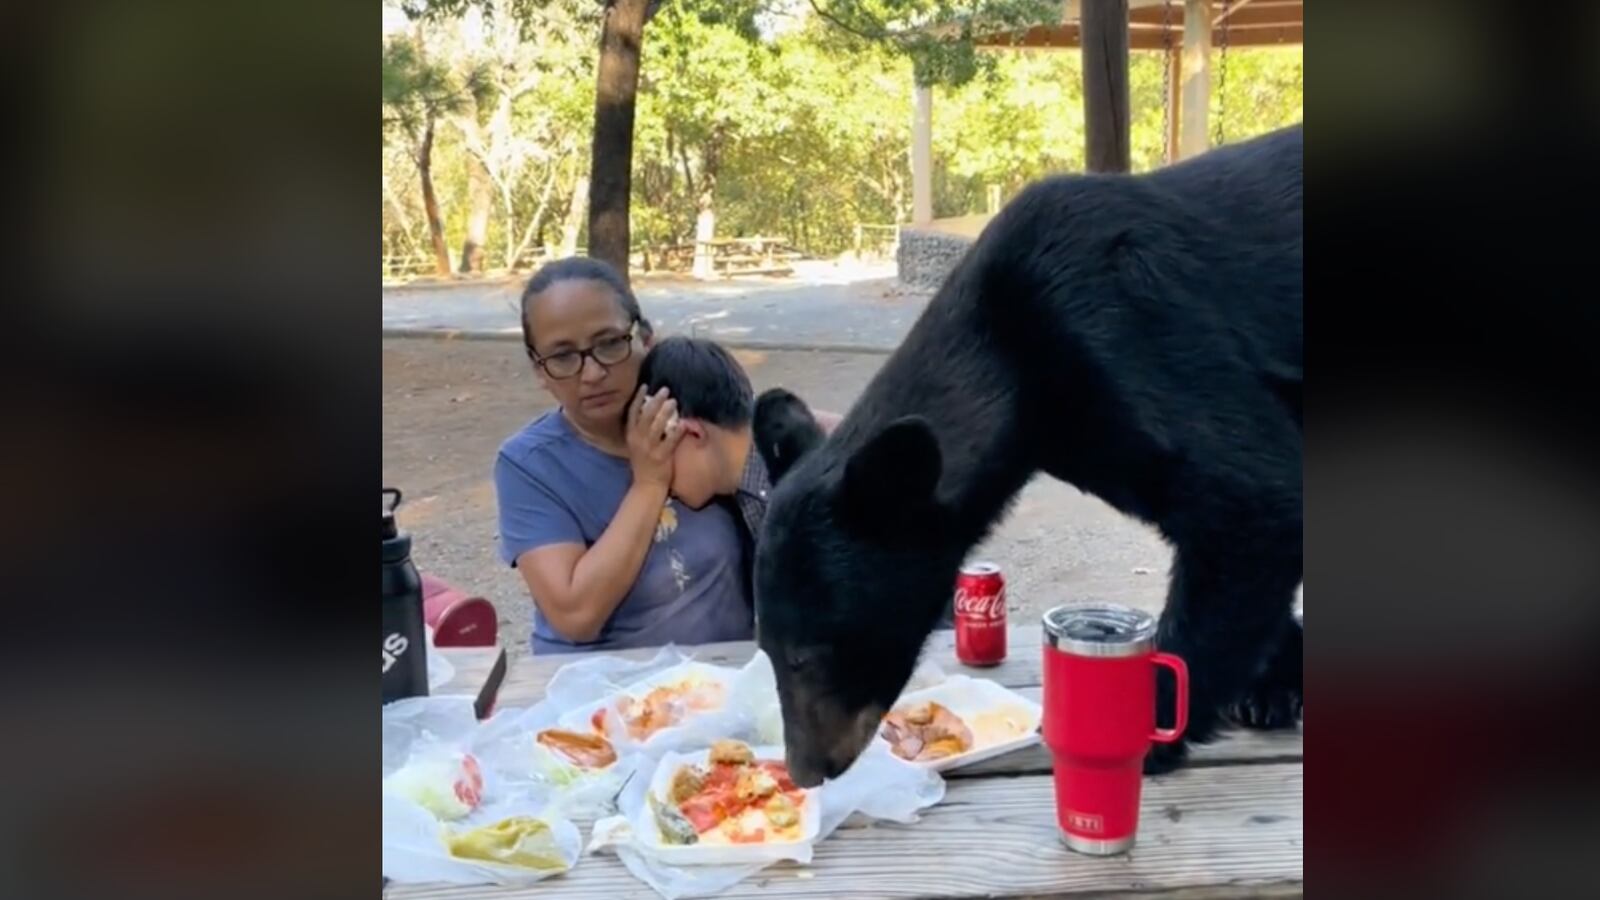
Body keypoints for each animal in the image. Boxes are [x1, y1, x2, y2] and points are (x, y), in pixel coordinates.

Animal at [751, 123, 1303, 788]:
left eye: (807, 655)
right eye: (766, 648)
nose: (806, 769)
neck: (1015, 361)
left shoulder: (1135, 333)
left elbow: (1252, 497)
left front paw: (1145, 732)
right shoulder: (1094, 431)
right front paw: (1274, 681)